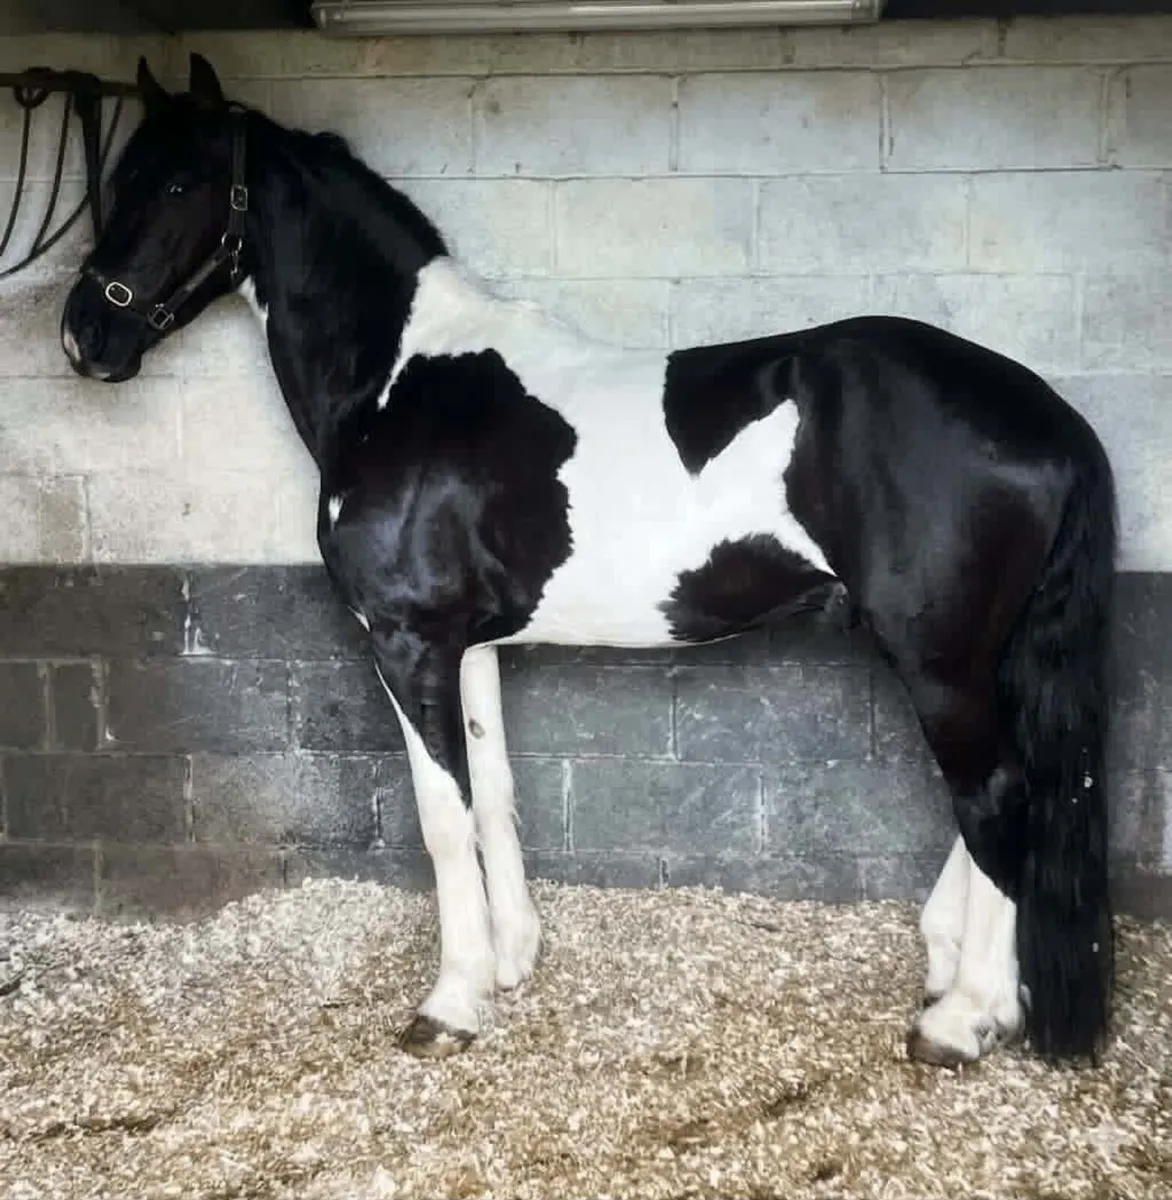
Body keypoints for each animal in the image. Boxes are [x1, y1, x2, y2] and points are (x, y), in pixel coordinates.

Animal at [59, 53, 1117, 1069]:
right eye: (116, 178)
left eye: (181, 182)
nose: (83, 333)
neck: (403, 380)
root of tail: (1050, 417)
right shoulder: (469, 644)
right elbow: (492, 794)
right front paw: (512, 962)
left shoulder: (406, 641)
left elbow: (441, 817)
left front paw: (450, 1003)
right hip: (970, 658)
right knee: (1004, 796)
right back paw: (958, 978)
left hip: (936, 658)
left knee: (997, 798)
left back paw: (965, 1021)